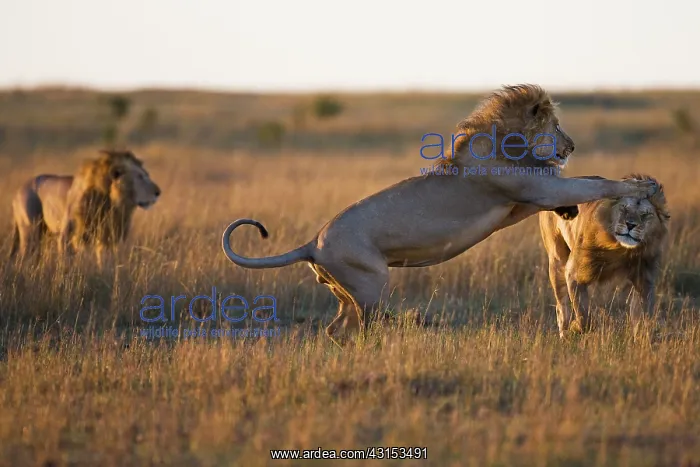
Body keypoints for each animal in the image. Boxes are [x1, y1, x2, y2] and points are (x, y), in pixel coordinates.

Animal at [10, 149, 161, 266]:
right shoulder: (67, 236)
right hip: (30, 231)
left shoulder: (107, 237)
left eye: (147, 175)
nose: (158, 192)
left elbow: (104, 262)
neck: (111, 203)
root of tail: (19, 189)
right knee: (25, 256)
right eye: (140, 177)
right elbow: (67, 262)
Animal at [539, 174, 670, 339]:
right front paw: (576, 328)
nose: (630, 225)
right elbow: (583, 317)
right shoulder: (573, 273)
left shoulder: (645, 281)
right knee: (562, 309)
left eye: (645, 214)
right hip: (557, 262)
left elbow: (643, 317)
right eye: (623, 208)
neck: (621, 250)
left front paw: (643, 339)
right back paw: (564, 335)